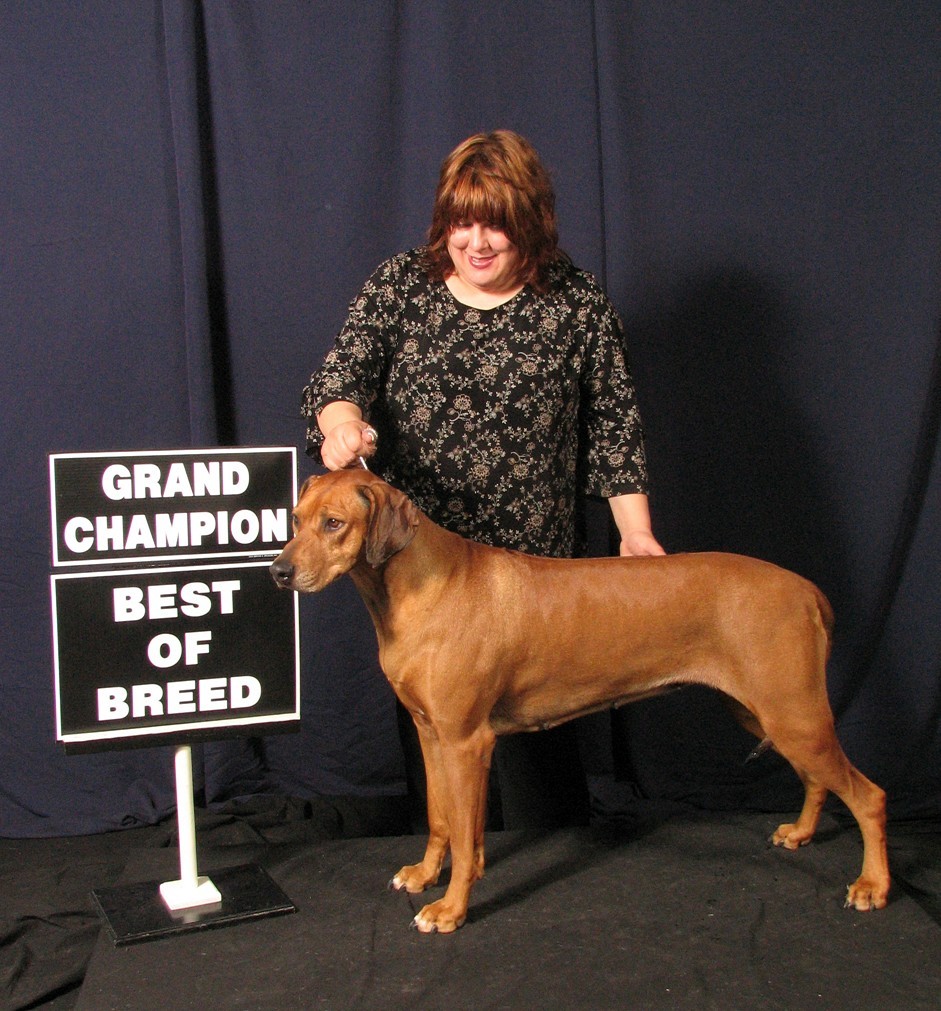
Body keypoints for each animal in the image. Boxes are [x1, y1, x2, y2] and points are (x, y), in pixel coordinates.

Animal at [270, 469, 889, 933]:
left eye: (334, 523)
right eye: (295, 520)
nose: (278, 572)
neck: (421, 585)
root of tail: (806, 589)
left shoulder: (467, 741)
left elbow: (467, 839)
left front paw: (451, 907)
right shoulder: (431, 732)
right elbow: (442, 819)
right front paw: (426, 875)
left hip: (793, 714)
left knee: (869, 796)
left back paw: (873, 885)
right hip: (769, 714)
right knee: (817, 779)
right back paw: (802, 833)